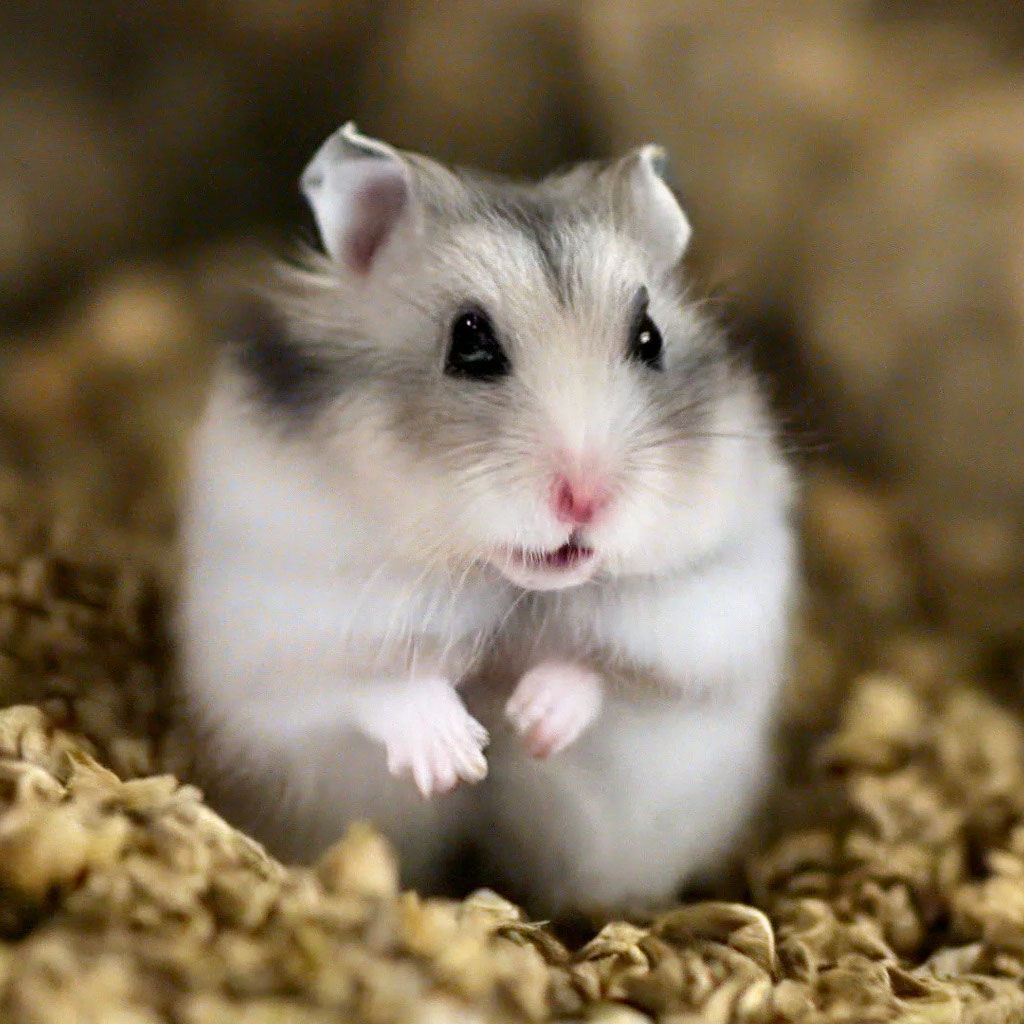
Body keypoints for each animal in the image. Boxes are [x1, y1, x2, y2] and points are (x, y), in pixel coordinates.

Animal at [178, 123, 797, 917]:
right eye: (468, 341)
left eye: (650, 338)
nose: (585, 500)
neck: (510, 583)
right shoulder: (283, 639)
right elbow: (374, 687)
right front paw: (455, 758)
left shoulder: (710, 621)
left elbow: (610, 673)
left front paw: (530, 720)